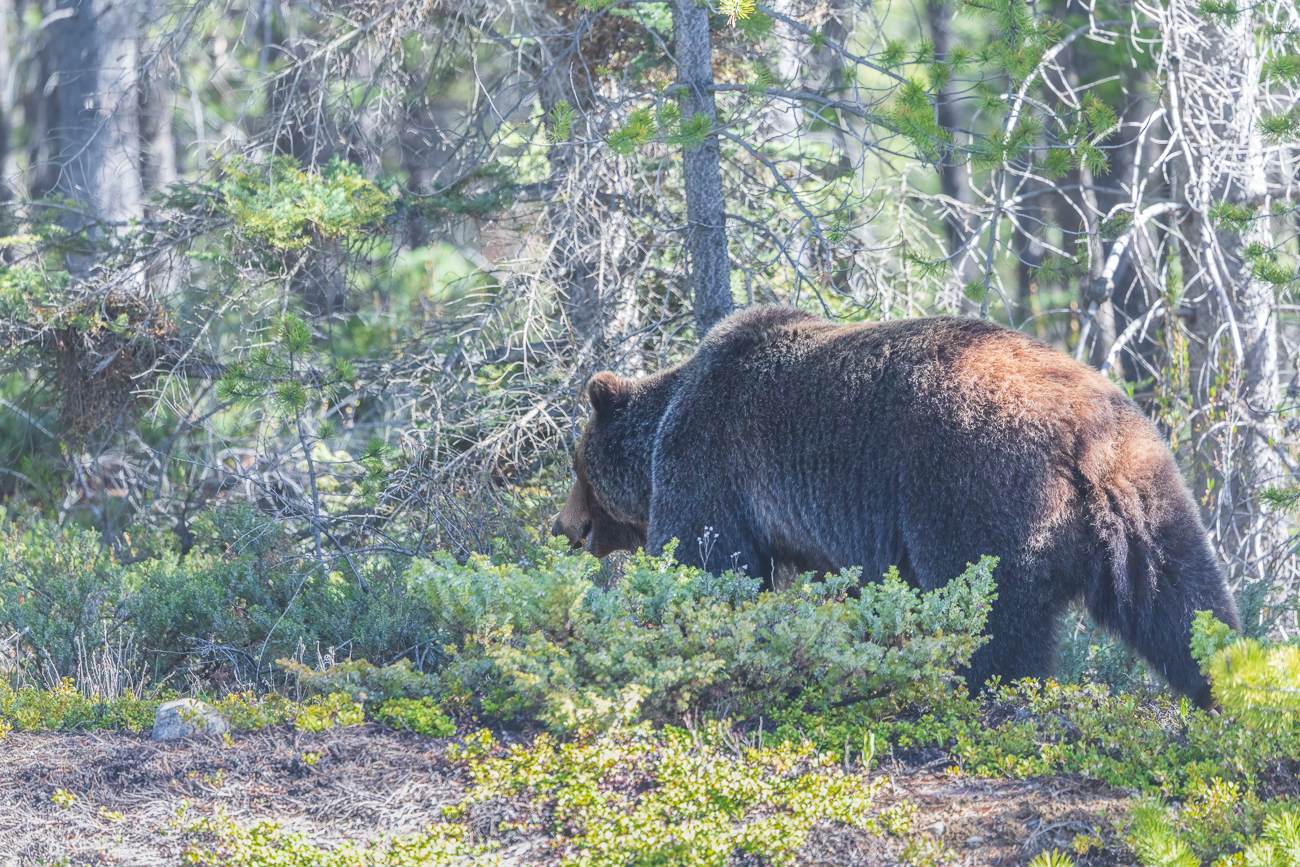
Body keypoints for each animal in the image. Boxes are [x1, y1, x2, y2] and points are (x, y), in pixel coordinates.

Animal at [552, 306, 1241, 707]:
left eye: (577, 465)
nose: (564, 528)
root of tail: (1085, 439)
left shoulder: (710, 462)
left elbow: (708, 563)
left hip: (969, 490)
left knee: (995, 620)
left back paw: (984, 695)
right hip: (1149, 492)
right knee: (1183, 602)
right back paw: (1230, 686)